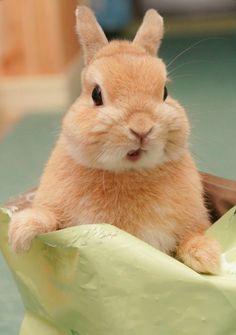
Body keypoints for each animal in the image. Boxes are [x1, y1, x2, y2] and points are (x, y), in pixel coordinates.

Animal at [7, 6, 221, 274]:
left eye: (165, 92)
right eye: (96, 94)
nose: (141, 128)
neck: (127, 172)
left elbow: (191, 237)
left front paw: (209, 259)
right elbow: (48, 217)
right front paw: (20, 235)